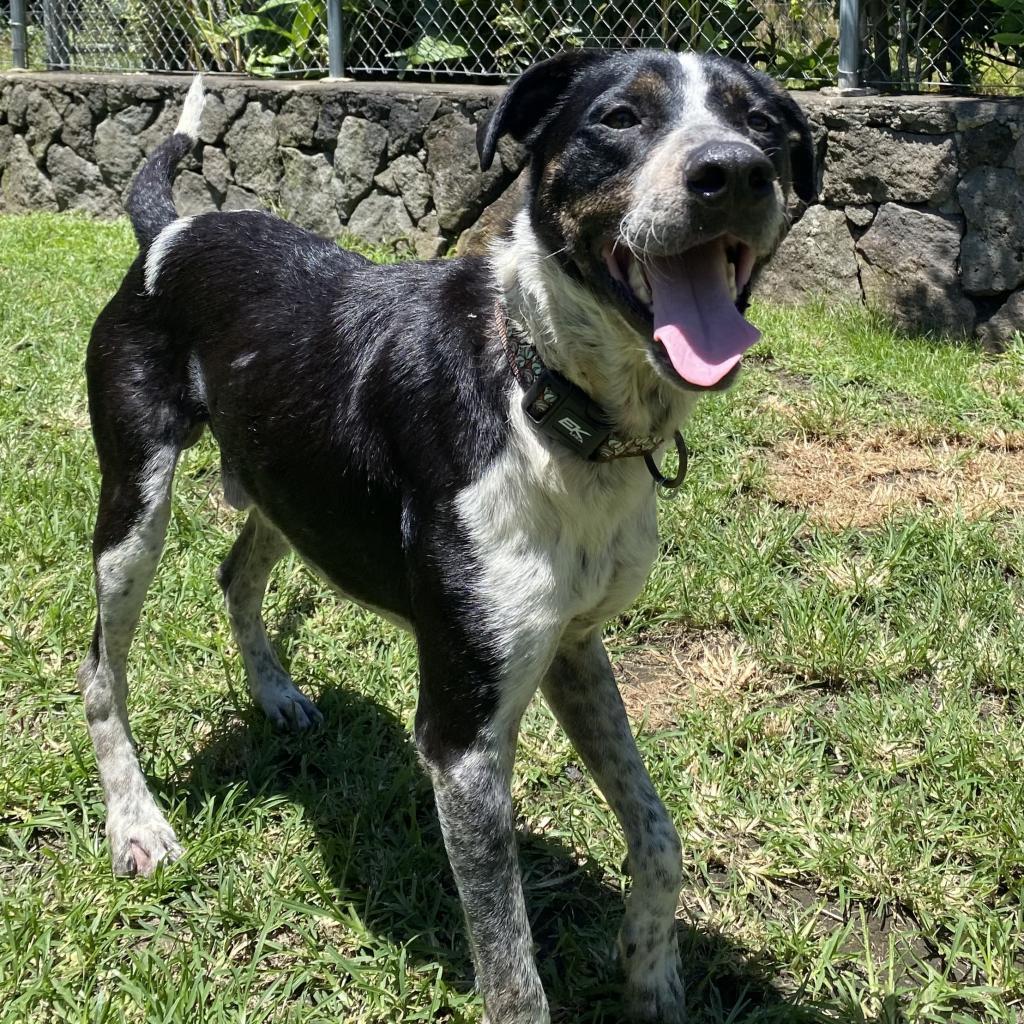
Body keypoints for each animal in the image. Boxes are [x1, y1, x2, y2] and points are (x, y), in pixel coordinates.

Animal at [77, 49, 815, 1024]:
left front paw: (651, 975)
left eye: (762, 122)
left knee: (236, 572)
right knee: (100, 665)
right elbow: (510, 965)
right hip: (136, 505)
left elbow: (659, 833)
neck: (541, 390)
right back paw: (136, 822)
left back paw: (275, 694)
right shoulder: (462, 739)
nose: (734, 171)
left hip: (290, 488)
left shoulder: (570, 644)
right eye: (620, 118)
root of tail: (170, 232)